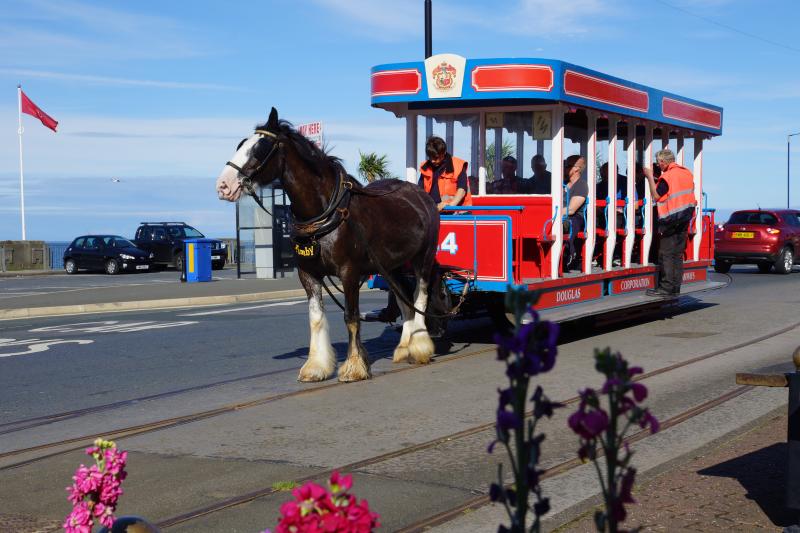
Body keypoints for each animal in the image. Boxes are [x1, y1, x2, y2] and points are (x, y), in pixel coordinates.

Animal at [216, 109, 440, 382]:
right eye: (240, 145)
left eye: (260, 148)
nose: (223, 185)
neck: (325, 212)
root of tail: (420, 195)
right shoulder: (308, 274)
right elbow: (316, 318)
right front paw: (316, 366)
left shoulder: (349, 273)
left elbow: (351, 317)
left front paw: (354, 366)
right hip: (392, 266)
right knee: (404, 299)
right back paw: (404, 348)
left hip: (423, 258)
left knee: (420, 297)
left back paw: (419, 347)